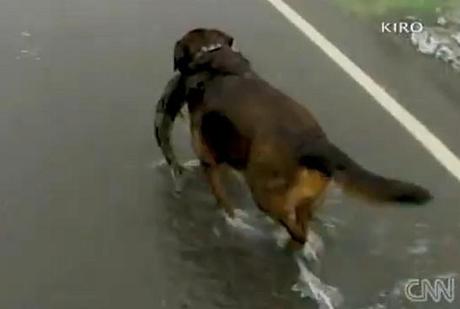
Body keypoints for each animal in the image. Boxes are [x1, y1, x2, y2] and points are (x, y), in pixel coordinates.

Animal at [157, 27, 432, 250]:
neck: (212, 56)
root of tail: (312, 142)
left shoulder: (208, 160)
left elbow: (223, 200)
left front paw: (229, 218)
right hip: (308, 197)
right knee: (302, 228)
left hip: (265, 194)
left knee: (294, 229)